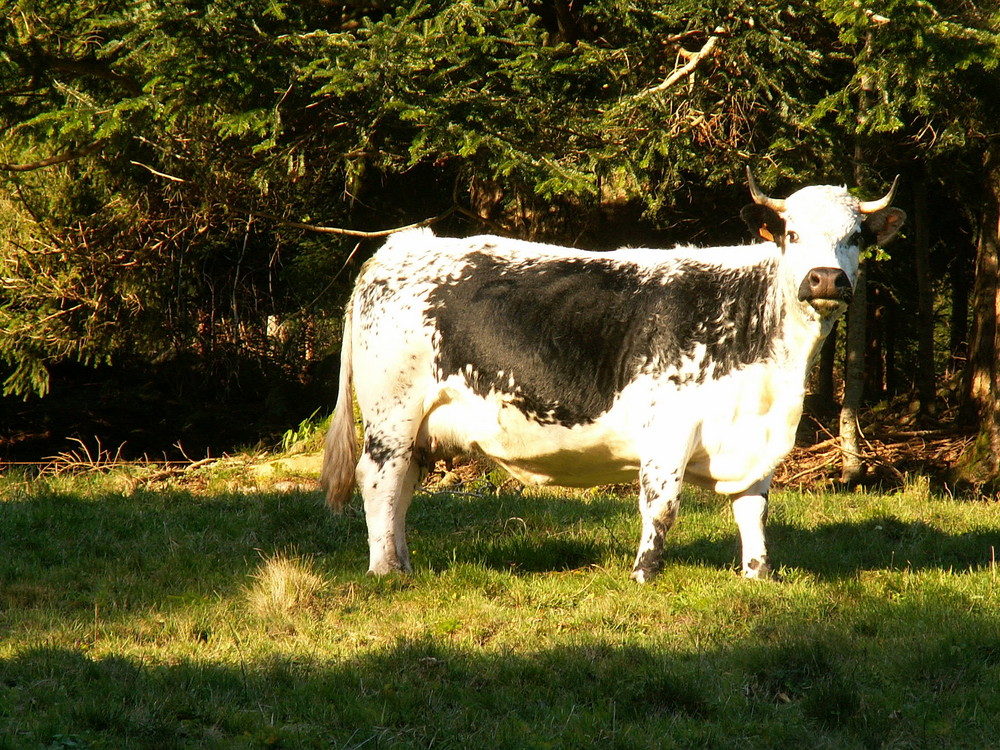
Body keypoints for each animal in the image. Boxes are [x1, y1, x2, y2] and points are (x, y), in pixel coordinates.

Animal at [322, 173, 908, 584]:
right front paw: (645, 574)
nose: (826, 279)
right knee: (379, 481)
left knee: (402, 488)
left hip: (418, 428)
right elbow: (662, 505)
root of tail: (400, 246)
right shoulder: (668, 428)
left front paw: (759, 575)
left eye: (856, 237)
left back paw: (403, 564)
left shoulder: (752, 439)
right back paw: (384, 571)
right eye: (792, 234)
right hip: (391, 413)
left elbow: (752, 509)